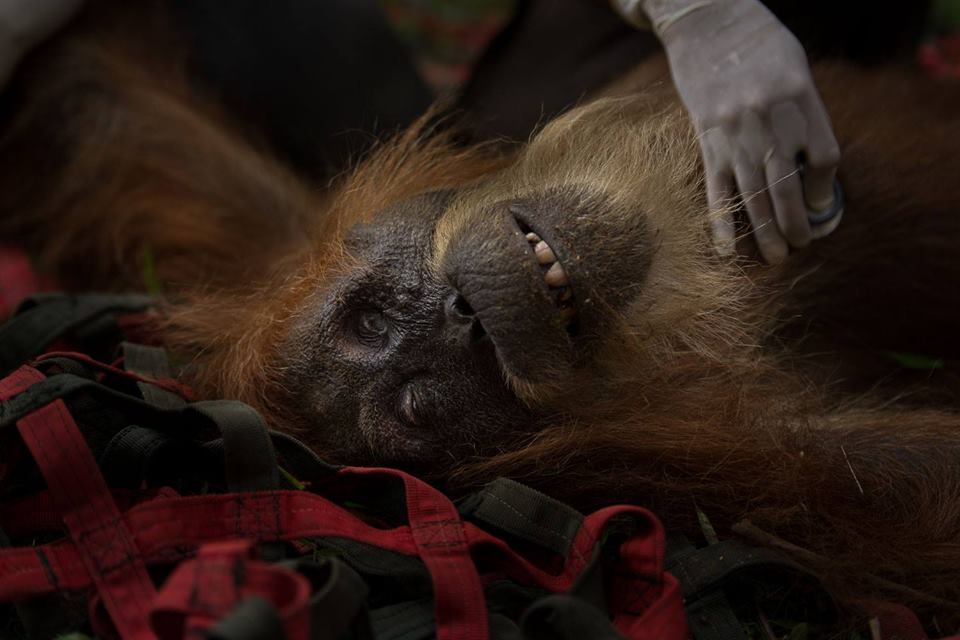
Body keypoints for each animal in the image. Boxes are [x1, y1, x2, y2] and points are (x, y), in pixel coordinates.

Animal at [1, 0, 959, 621]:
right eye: (419, 398)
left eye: (370, 320)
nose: (465, 312)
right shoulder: (740, 469)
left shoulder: (264, 242)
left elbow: (98, 99)